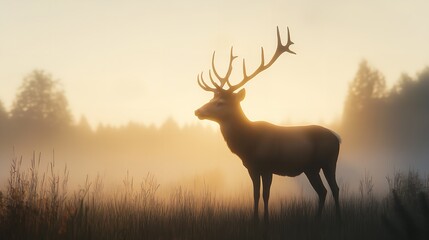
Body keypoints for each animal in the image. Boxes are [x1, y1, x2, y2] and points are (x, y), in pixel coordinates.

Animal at [195, 26, 342, 223]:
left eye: (221, 102)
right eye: (211, 99)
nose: (198, 111)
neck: (249, 144)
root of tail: (337, 137)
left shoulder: (267, 166)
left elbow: (266, 195)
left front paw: (265, 220)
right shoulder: (252, 168)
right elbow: (255, 194)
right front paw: (255, 220)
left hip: (328, 161)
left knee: (334, 188)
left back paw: (339, 219)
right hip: (310, 168)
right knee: (322, 191)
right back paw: (317, 219)